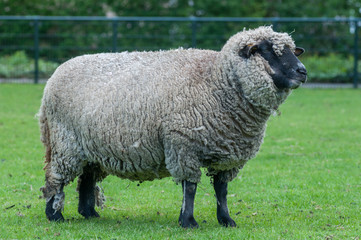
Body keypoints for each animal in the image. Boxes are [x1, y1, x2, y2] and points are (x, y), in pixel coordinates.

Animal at [38, 25, 306, 228]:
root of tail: (56, 73)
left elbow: (221, 190)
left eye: (292, 51)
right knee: (56, 178)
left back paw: (89, 213)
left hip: (90, 148)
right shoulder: (183, 144)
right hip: (64, 142)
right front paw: (188, 221)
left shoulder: (227, 153)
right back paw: (55, 215)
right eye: (268, 50)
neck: (215, 82)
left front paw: (226, 220)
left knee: (86, 178)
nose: (302, 71)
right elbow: (190, 187)